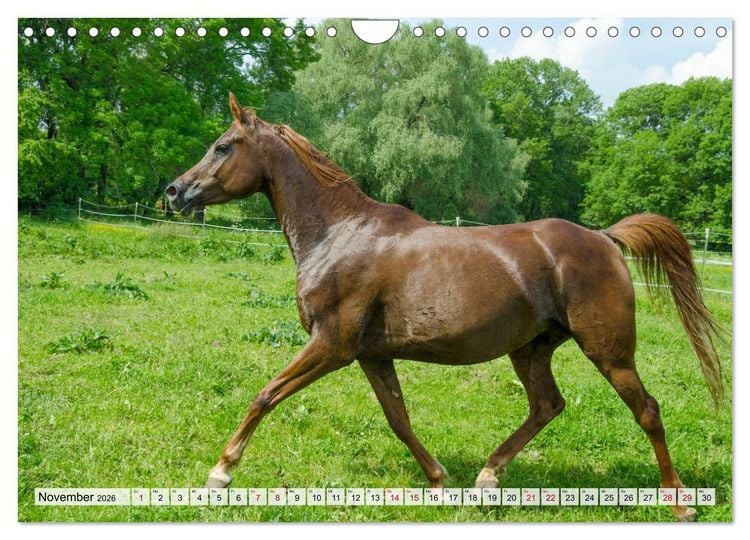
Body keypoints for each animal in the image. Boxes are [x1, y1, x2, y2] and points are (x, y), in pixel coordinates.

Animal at [165, 93, 724, 521]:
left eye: (222, 146)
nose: (174, 191)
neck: (339, 234)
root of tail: (604, 239)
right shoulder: (372, 355)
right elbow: (398, 418)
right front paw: (438, 479)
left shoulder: (332, 345)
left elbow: (265, 395)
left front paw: (220, 473)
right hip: (531, 349)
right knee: (547, 405)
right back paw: (488, 478)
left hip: (609, 351)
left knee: (647, 411)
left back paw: (680, 502)